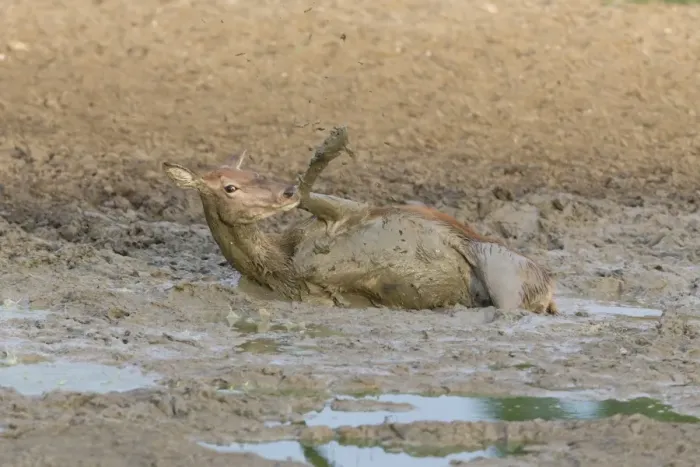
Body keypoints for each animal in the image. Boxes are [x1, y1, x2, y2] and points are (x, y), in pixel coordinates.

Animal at [162, 126, 559, 314]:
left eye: (256, 172)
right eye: (229, 187)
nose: (283, 192)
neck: (284, 266)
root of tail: (549, 289)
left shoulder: (355, 209)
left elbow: (312, 191)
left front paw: (332, 142)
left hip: (501, 261)